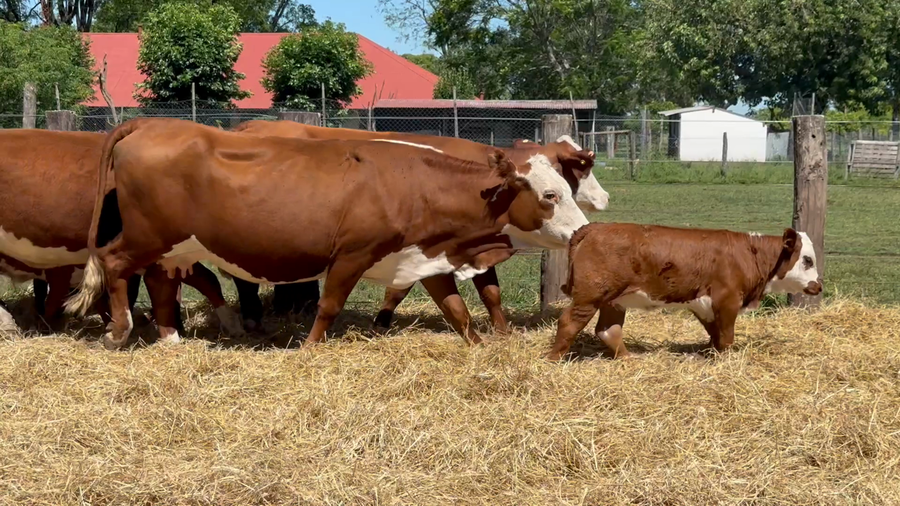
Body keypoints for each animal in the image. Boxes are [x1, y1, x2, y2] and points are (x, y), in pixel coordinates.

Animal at [546, 223, 823, 361]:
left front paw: (712, 354)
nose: (818, 286)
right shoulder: (727, 300)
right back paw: (553, 359)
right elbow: (727, 336)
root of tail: (594, 227)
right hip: (589, 296)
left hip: (613, 300)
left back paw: (628, 359)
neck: (749, 254)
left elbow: (716, 334)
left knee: (608, 330)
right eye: (808, 260)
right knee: (569, 322)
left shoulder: (705, 304)